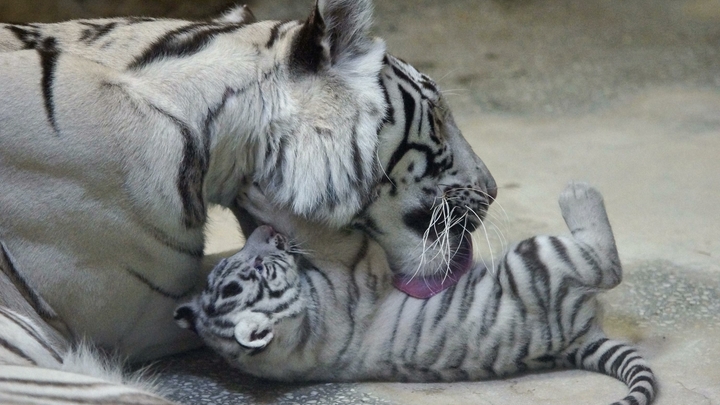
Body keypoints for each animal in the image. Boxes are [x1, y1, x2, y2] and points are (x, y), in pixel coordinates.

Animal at [176, 182, 660, 404]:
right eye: (257, 267)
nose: (264, 234)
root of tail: (580, 339)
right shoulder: (352, 268)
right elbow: (326, 235)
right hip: (536, 259)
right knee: (604, 265)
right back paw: (579, 192)